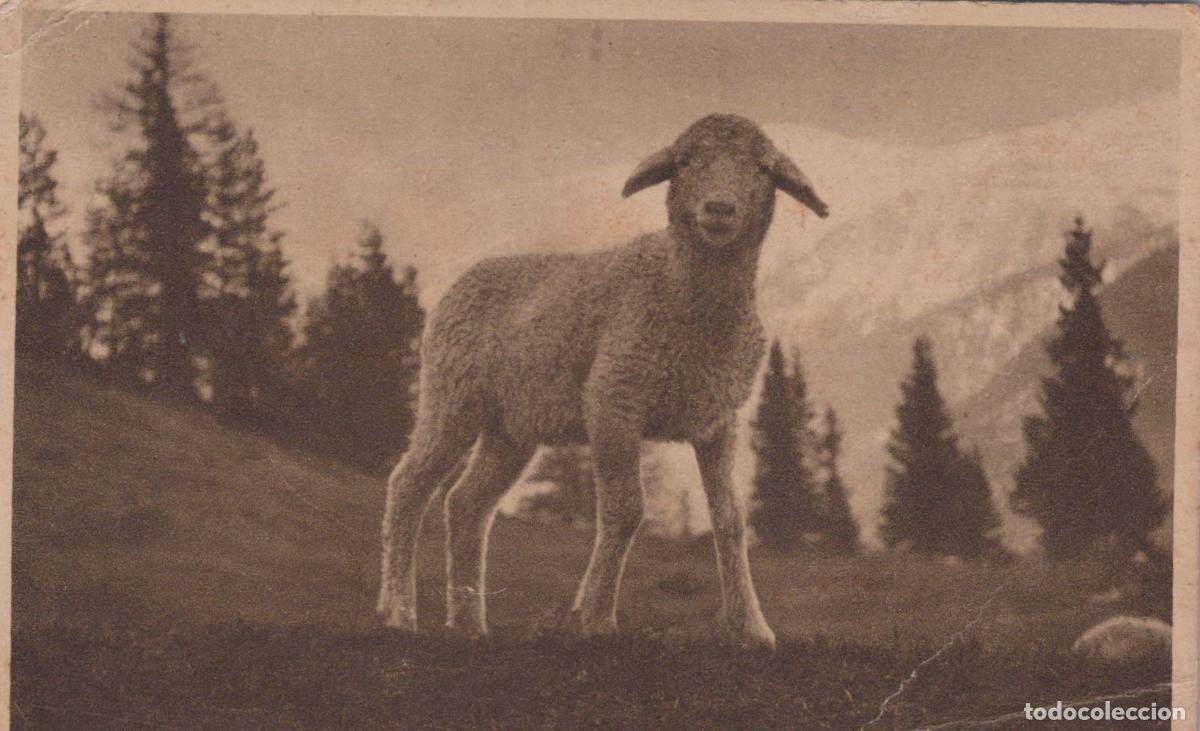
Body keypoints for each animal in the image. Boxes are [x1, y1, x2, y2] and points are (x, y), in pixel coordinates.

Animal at [377, 114, 829, 649]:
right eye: (685, 162)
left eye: (762, 168)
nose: (719, 207)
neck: (687, 300)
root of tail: (464, 278)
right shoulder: (613, 399)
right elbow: (626, 508)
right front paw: (595, 616)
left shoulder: (719, 420)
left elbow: (731, 522)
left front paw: (753, 629)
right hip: (452, 396)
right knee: (409, 485)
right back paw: (398, 612)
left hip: (511, 427)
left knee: (467, 504)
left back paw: (469, 623)